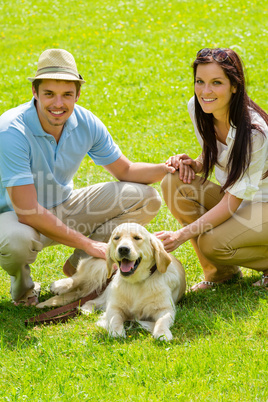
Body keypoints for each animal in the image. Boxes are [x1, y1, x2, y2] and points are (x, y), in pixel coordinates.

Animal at [36, 223, 185, 340]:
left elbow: (162, 321)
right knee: (77, 279)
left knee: (88, 300)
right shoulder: (115, 306)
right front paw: (116, 331)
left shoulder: (166, 309)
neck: (137, 282)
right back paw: (59, 286)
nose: (123, 248)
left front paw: (162, 333)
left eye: (137, 238)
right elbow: (115, 318)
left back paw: (86, 309)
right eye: (116, 238)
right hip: (100, 267)